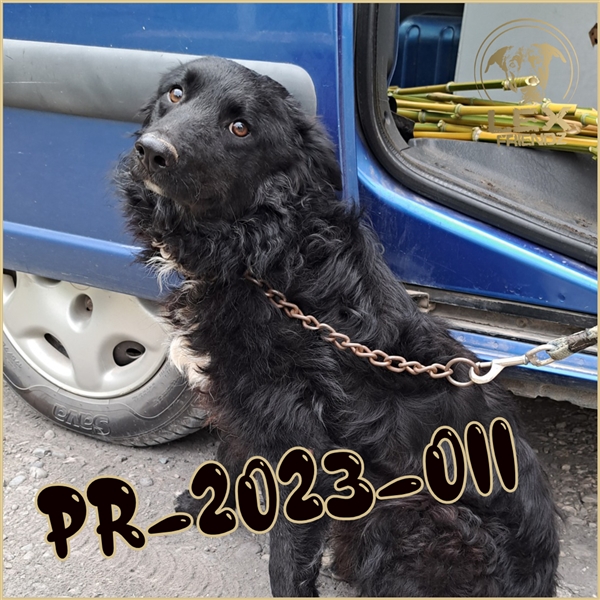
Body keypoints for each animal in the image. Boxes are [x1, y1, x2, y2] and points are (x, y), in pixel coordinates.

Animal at [117, 56, 559, 597]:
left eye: (240, 127)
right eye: (176, 94)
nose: (152, 150)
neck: (268, 259)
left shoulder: (304, 445)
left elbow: (286, 561)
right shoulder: (239, 402)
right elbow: (229, 456)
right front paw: (207, 507)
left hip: (411, 513)